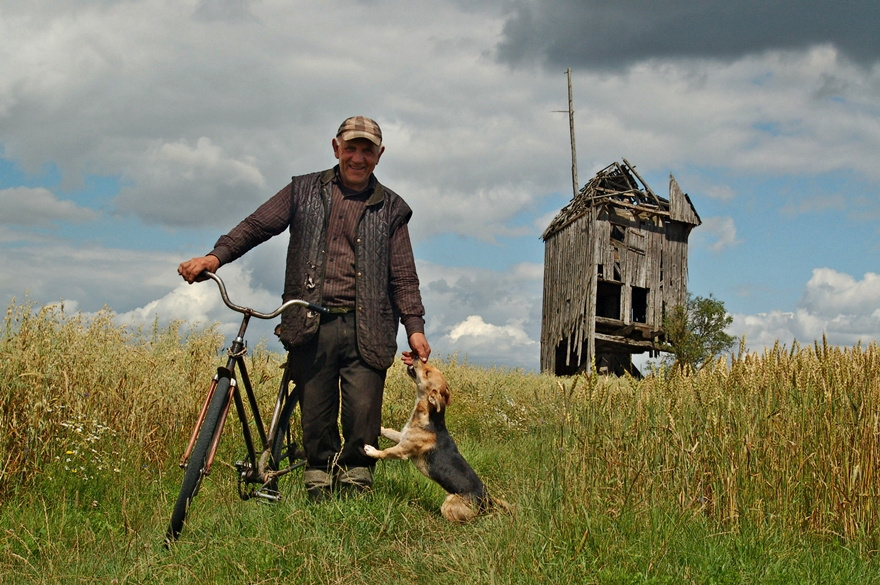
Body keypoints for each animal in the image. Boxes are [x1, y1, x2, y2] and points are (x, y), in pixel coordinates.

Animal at [364, 360, 506, 520]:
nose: (417, 357)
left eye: (427, 373)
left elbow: (386, 452)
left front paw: (372, 451)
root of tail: (487, 500)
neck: (429, 417)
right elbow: (388, 431)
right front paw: (379, 428)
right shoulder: (402, 436)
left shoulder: (403, 449)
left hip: (449, 504)